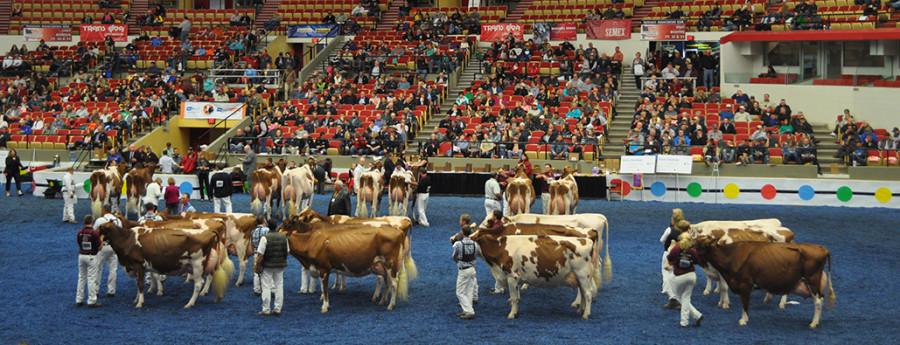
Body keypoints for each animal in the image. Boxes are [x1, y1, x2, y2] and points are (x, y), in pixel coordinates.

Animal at [96, 219, 234, 308]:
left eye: (100, 228)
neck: (126, 239)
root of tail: (209, 231)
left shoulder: (138, 265)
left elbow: (140, 285)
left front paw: (140, 303)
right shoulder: (139, 267)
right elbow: (140, 284)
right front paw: (136, 299)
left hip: (197, 264)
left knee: (199, 284)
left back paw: (190, 303)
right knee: (209, 277)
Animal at [280, 219, 414, 314]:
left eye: (286, 224)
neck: (311, 241)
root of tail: (398, 230)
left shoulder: (324, 269)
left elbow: (325, 289)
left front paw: (325, 306)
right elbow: (325, 287)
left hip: (391, 263)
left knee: (394, 283)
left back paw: (391, 305)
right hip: (381, 265)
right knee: (387, 281)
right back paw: (382, 301)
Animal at [696, 239, 836, 328]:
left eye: (697, 247)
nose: (689, 251)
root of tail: (821, 248)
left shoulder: (745, 284)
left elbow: (745, 303)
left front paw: (743, 320)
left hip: (812, 280)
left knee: (818, 301)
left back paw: (813, 323)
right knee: (821, 299)